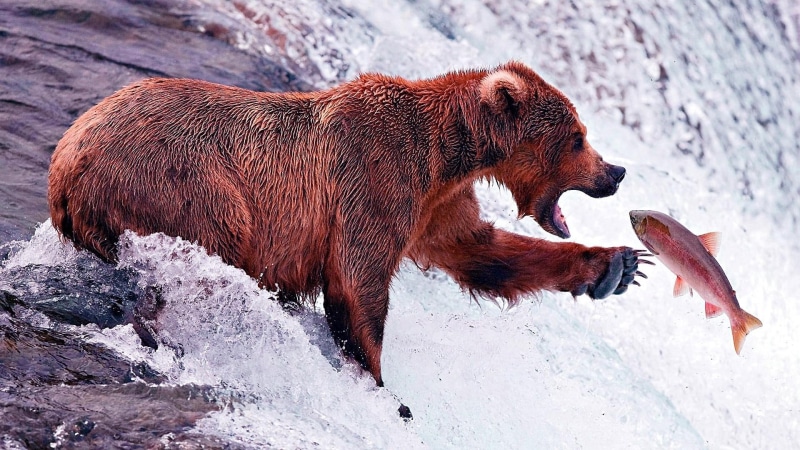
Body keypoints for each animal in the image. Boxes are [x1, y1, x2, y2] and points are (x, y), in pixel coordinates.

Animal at [48, 61, 644, 408]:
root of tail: (66, 163)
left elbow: (482, 252)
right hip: (186, 186)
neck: (449, 154)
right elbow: (359, 286)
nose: (616, 172)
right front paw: (382, 389)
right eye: (577, 136)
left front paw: (616, 266)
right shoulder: (375, 180)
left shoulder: (436, 206)